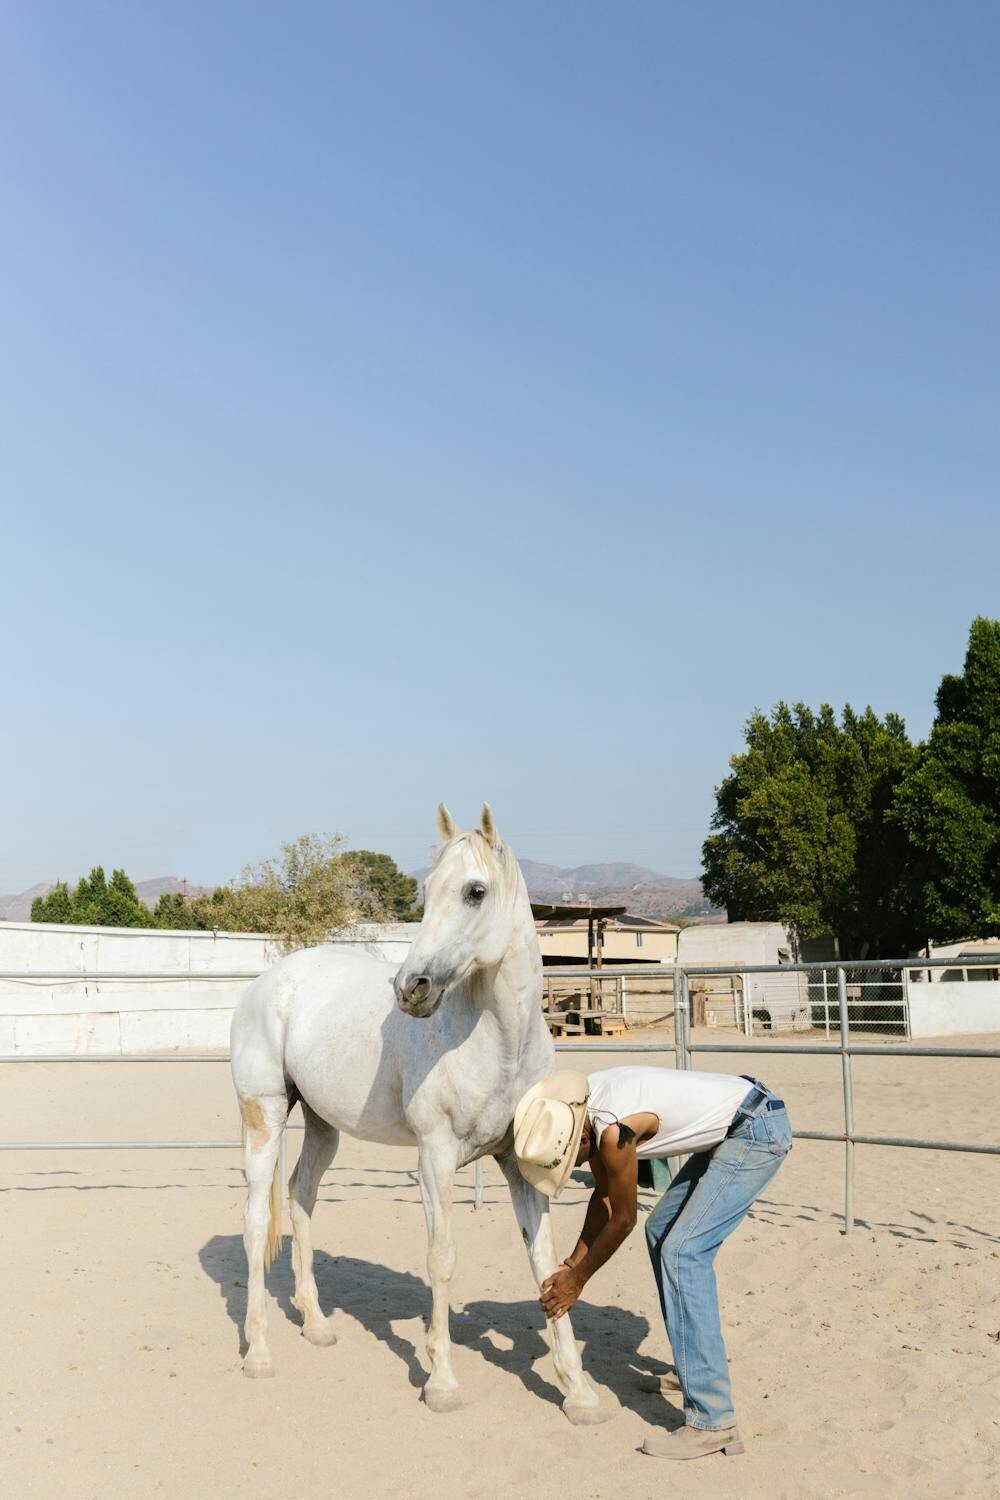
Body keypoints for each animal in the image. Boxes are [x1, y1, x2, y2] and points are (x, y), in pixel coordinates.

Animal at [228, 803, 605, 1423]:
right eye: (428, 890)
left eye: (476, 891)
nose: (411, 989)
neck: (497, 1041)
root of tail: (270, 982)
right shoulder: (437, 1157)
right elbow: (441, 1258)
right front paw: (441, 1381)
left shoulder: (519, 1165)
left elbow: (545, 1263)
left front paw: (578, 1392)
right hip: (265, 1116)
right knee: (257, 1222)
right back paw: (258, 1352)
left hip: (323, 1126)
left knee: (301, 1197)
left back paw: (317, 1324)